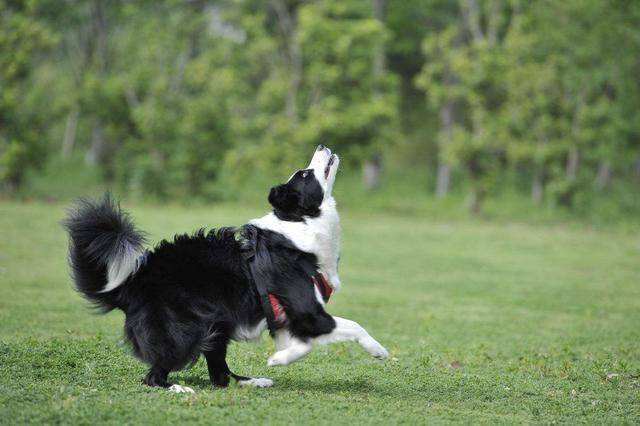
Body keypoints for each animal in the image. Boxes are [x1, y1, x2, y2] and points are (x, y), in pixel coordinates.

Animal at [65, 146, 388, 392]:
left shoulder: (285, 316)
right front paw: (379, 350)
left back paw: (252, 381)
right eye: (305, 174)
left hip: (216, 323)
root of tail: (131, 283)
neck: (301, 225)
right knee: (154, 376)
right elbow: (352, 325)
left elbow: (303, 344)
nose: (321, 146)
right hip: (185, 330)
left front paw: (280, 358)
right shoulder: (307, 310)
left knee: (219, 375)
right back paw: (178, 388)